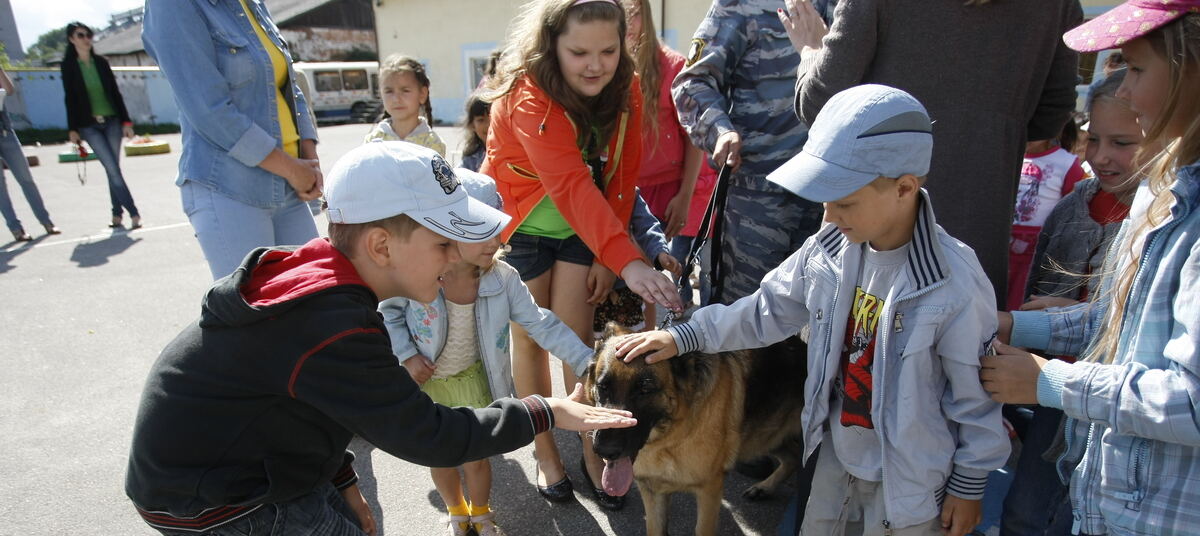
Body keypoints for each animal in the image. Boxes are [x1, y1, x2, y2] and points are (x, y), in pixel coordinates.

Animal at [583, 323, 805, 536]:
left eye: (645, 390)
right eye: (603, 387)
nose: (604, 451)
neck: (669, 438)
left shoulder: (709, 491)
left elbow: (702, 529)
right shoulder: (652, 493)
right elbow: (655, 529)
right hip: (767, 435)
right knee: (793, 457)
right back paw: (765, 488)